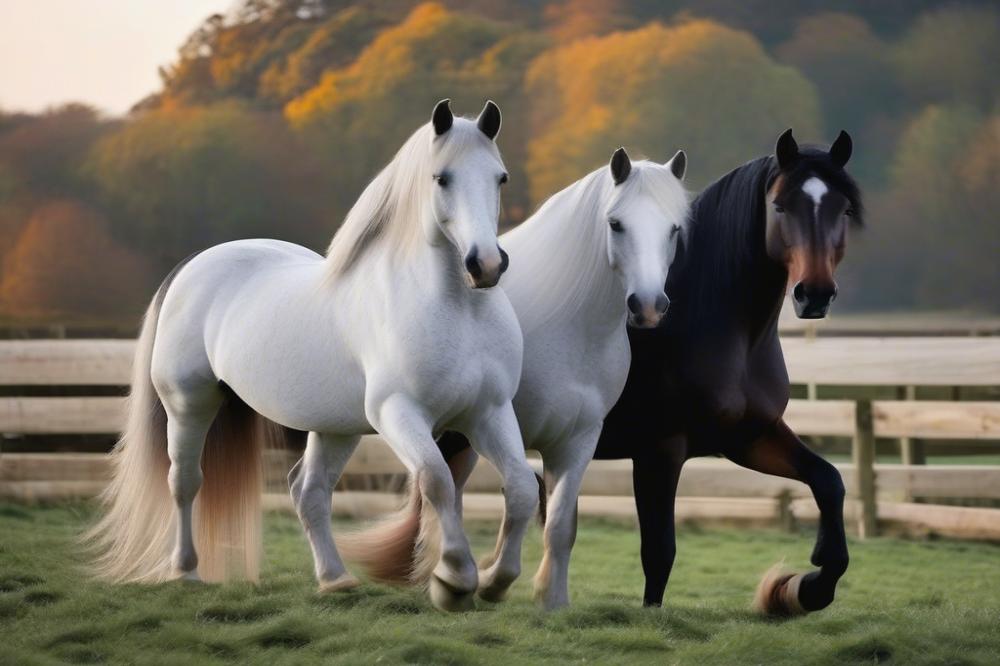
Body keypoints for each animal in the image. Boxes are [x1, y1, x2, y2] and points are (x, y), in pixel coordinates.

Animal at [86, 97, 540, 608]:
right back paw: (185, 571)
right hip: (189, 404)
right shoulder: (400, 414)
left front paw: (497, 579)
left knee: (309, 491)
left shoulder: (489, 413)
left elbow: (522, 487)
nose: (486, 265)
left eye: (500, 178)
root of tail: (192, 266)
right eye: (441, 177)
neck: (454, 307)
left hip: (334, 429)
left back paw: (335, 578)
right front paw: (454, 579)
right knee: (184, 481)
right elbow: (436, 481)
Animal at [344, 147, 688, 608]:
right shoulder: (500, 428)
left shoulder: (577, 439)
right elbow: (517, 497)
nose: (648, 306)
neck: (571, 326)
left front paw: (552, 600)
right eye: (616, 224)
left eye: (673, 229)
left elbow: (559, 522)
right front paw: (492, 578)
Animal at [592, 128, 868, 612]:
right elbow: (659, 552)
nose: (814, 293)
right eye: (780, 206)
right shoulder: (659, 450)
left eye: (844, 209)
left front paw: (803, 587)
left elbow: (829, 481)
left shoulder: (748, 438)